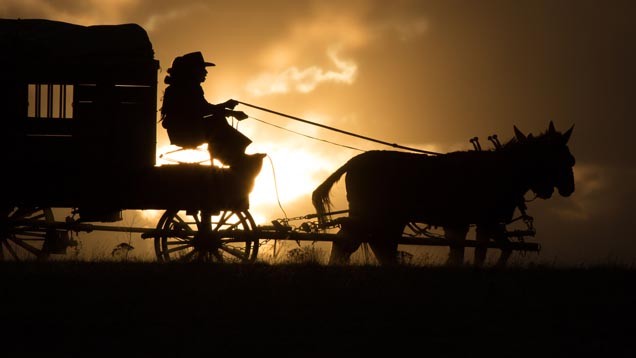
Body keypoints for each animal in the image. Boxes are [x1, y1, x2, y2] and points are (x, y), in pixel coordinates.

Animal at [314, 122, 576, 266]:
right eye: (564, 159)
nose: (568, 189)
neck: (503, 170)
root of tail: (353, 161)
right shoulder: (487, 221)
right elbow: (488, 250)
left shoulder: (467, 223)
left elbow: (472, 251)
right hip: (375, 215)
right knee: (358, 242)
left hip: (382, 217)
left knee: (365, 242)